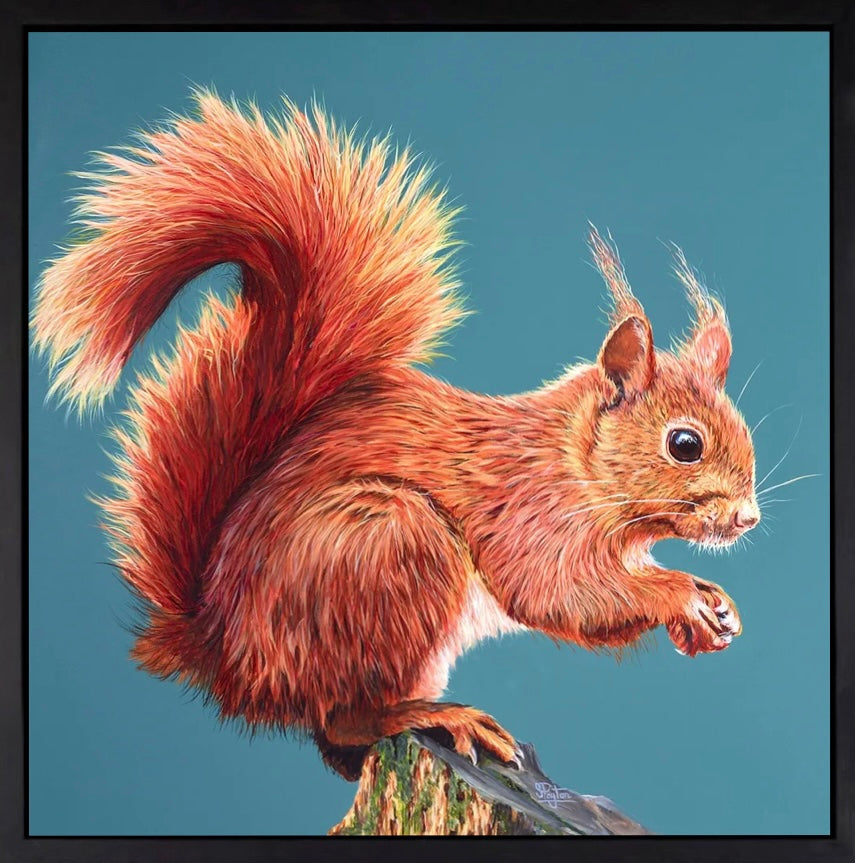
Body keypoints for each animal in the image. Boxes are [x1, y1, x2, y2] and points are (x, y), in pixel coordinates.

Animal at [31, 90, 760, 781]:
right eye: (684, 444)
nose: (747, 518)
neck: (571, 461)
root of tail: (224, 654)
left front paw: (713, 604)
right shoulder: (529, 516)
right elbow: (561, 594)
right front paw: (678, 594)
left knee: (332, 740)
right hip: (389, 544)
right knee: (342, 716)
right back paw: (438, 716)